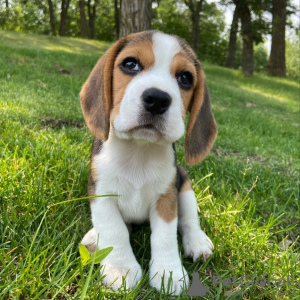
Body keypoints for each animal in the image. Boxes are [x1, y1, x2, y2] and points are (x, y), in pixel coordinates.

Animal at [79, 31, 216, 296]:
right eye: (130, 64)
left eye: (185, 78)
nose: (157, 99)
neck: (138, 151)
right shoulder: (101, 194)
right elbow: (115, 230)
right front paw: (120, 269)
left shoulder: (166, 198)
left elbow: (165, 235)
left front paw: (168, 272)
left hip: (184, 184)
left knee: (189, 220)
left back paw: (197, 241)